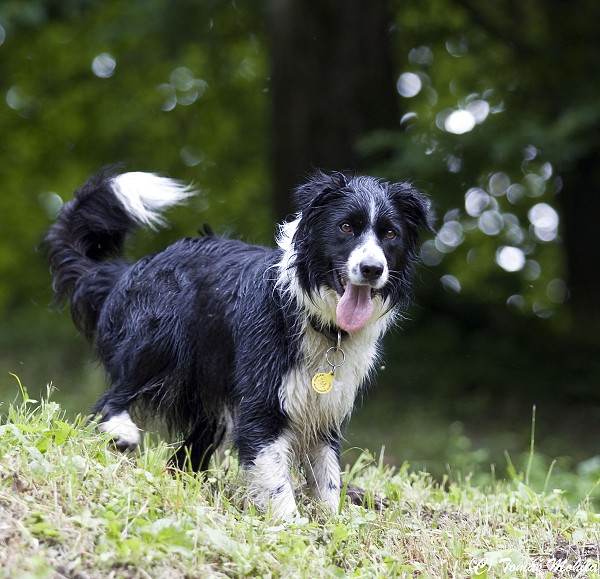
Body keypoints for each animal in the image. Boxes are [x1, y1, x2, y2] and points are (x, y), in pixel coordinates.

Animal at [47, 168, 432, 516]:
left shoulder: (325, 412)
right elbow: (276, 482)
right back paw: (121, 430)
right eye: (346, 227)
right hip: (159, 340)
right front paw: (290, 530)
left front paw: (331, 526)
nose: (372, 269)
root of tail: (130, 269)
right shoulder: (263, 404)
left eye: (390, 234)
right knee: (114, 395)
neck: (319, 320)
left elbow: (327, 480)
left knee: (186, 454)